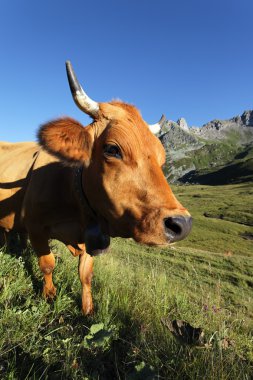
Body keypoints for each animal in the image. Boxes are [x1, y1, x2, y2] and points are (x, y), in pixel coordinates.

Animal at [0, 61, 191, 314]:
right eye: (112, 149)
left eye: (161, 159)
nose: (182, 224)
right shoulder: (36, 227)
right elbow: (48, 264)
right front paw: (49, 295)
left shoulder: (93, 235)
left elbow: (86, 274)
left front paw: (88, 309)